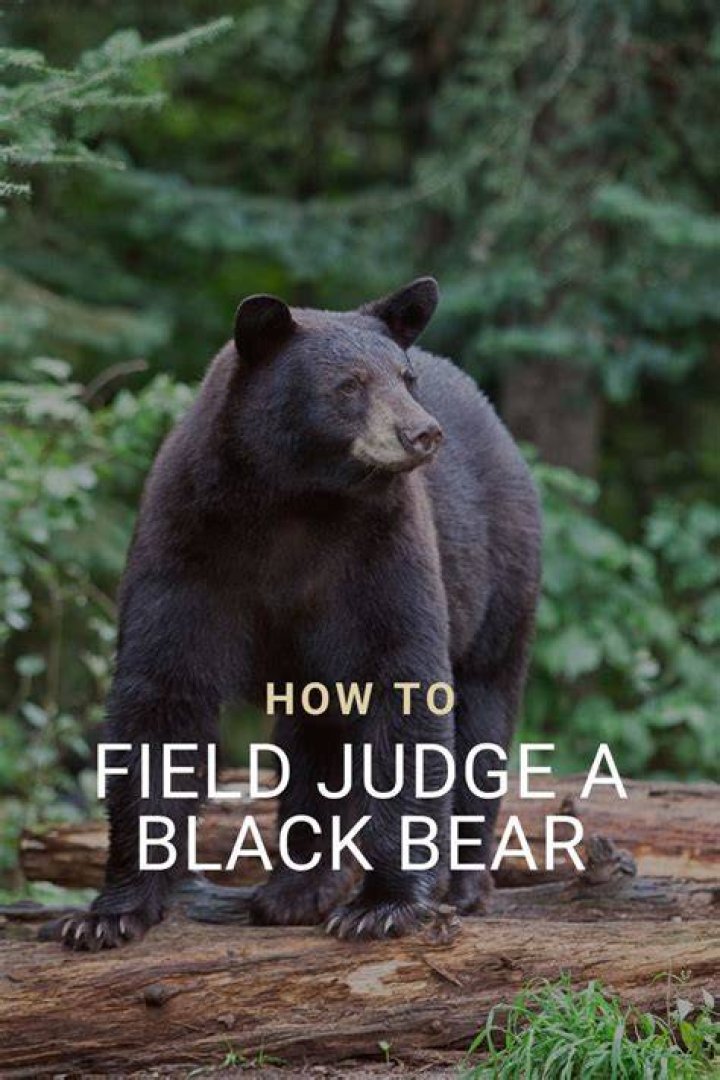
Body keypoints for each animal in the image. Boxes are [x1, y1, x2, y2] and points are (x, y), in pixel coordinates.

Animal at [58, 277, 541, 950]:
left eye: (405, 376)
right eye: (349, 385)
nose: (423, 433)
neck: (296, 501)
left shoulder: (382, 552)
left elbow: (406, 685)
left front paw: (383, 906)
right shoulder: (187, 543)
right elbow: (162, 695)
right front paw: (108, 913)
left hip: (500, 580)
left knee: (482, 718)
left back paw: (462, 882)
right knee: (316, 742)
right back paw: (296, 889)